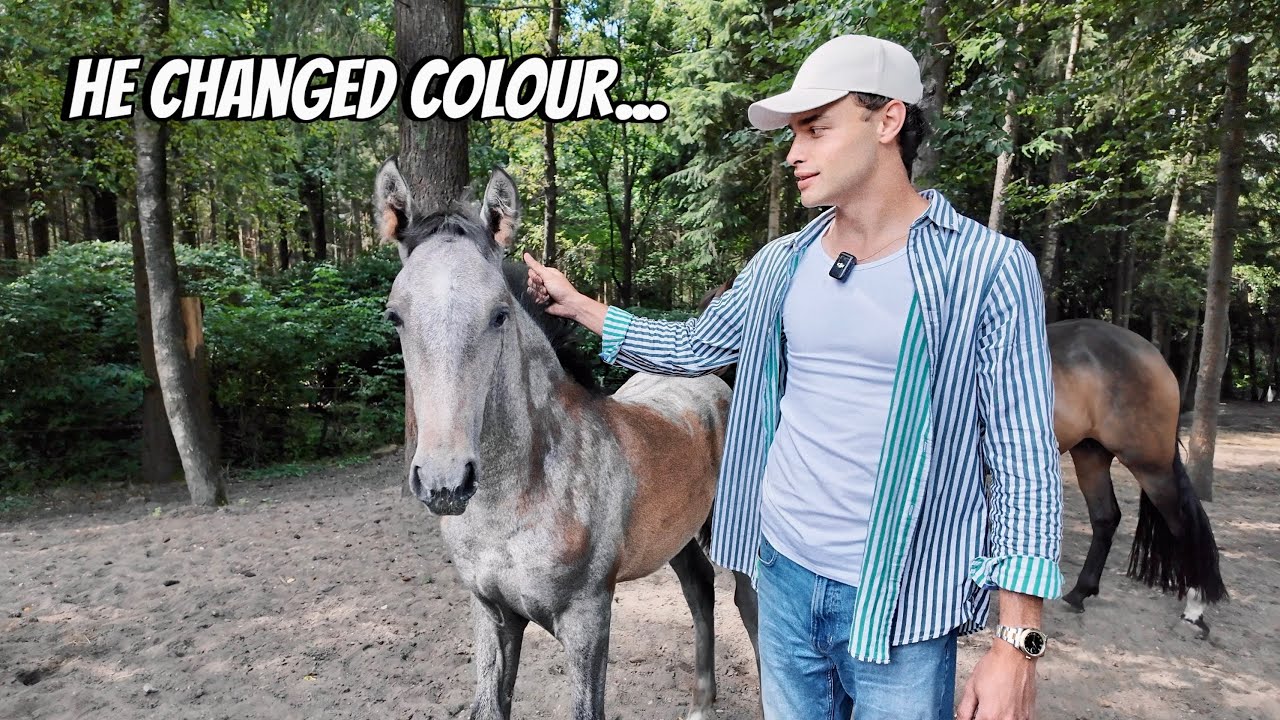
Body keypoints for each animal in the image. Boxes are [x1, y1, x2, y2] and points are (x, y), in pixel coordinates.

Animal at [375, 159, 758, 720]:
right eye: (396, 315)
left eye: (499, 313)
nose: (445, 483)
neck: (516, 498)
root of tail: (714, 379)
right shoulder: (491, 612)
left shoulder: (587, 618)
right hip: (679, 536)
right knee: (699, 591)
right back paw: (700, 704)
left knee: (747, 604)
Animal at [699, 274, 1227, 635]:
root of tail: (1150, 353)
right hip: (1091, 454)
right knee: (1106, 517)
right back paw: (1078, 593)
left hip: (1148, 462)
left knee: (1182, 523)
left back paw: (1194, 609)